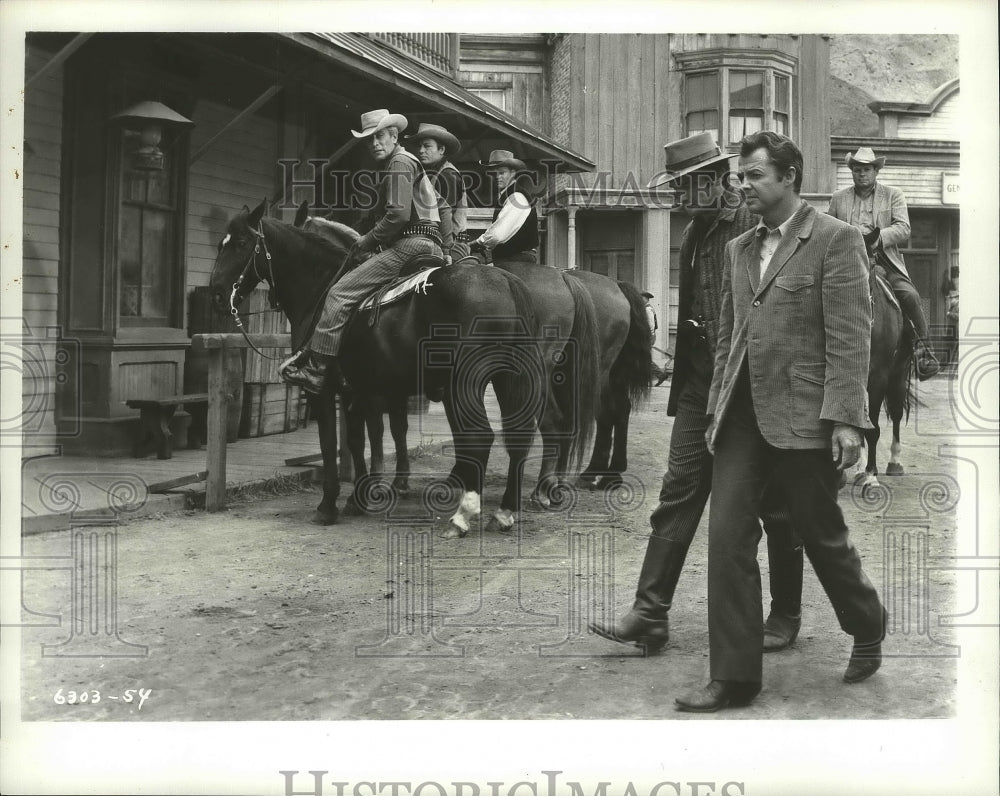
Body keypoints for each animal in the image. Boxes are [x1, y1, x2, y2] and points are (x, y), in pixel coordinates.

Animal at [211, 199, 552, 536]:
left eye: (241, 243)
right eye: (221, 243)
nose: (217, 292)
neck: (321, 285)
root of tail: (507, 282)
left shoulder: (325, 390)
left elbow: (331, 443)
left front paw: (328, 505)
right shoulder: (356, 390)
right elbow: (356, 440)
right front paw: (357, 499)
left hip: (467, 383)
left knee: (480, 438)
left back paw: (462, 517)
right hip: (508, 379)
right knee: (518, 437)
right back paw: (504, 512)